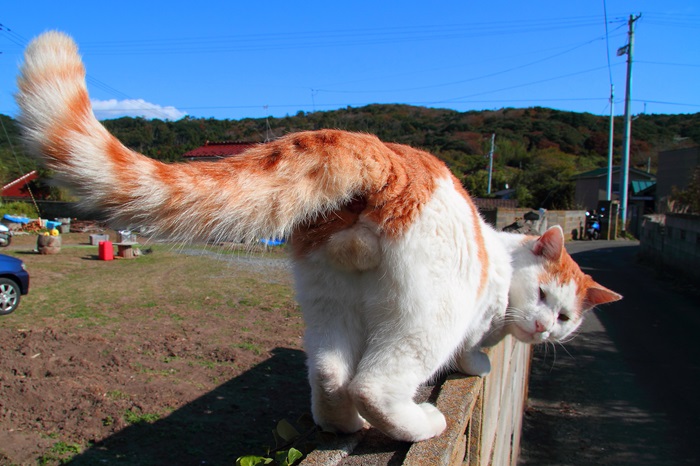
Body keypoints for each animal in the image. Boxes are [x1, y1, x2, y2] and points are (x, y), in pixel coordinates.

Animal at [16, 31, 620, 442]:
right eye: (547, 299)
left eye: (566, 317)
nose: (545, 328)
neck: (507, 261)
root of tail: (385, 156)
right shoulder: (476, 324)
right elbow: (475, 354)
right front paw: (481, 364)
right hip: (423, 318)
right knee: (374, 383)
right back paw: (416, 423)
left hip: (329, 299)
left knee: (331, 373)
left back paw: (341, 424)